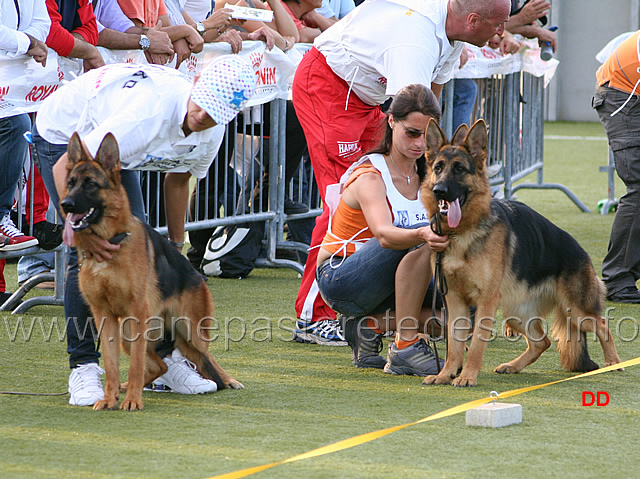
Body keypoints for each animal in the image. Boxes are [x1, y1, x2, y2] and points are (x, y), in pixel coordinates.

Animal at [62, 133, 242, 410]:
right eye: (70, 183)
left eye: (90, 184)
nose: (66, 204)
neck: (111, 241)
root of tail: (195, 273)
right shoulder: (105, 318)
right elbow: (112, 366)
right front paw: (110, 398)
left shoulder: (136, 315)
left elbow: (136, 365)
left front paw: (133, 401)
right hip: (129, 333)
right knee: (160, 365)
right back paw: (125, 387)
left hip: (188, 331)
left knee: (203, 356)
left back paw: (227, 380)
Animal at [420, 120, 620, 390]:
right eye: (438, 168)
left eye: (459, 169)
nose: (439, 191)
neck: (462, 233)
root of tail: (581, 251)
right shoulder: (454, 300)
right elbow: (455, 344)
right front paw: (445, 374)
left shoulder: (485, 302)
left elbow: (476, 344)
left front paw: (467, 376)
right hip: (516, 314)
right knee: (542, 342)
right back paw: (513, 366)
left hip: (575, 311)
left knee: (602, 325)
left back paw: (613, 363)